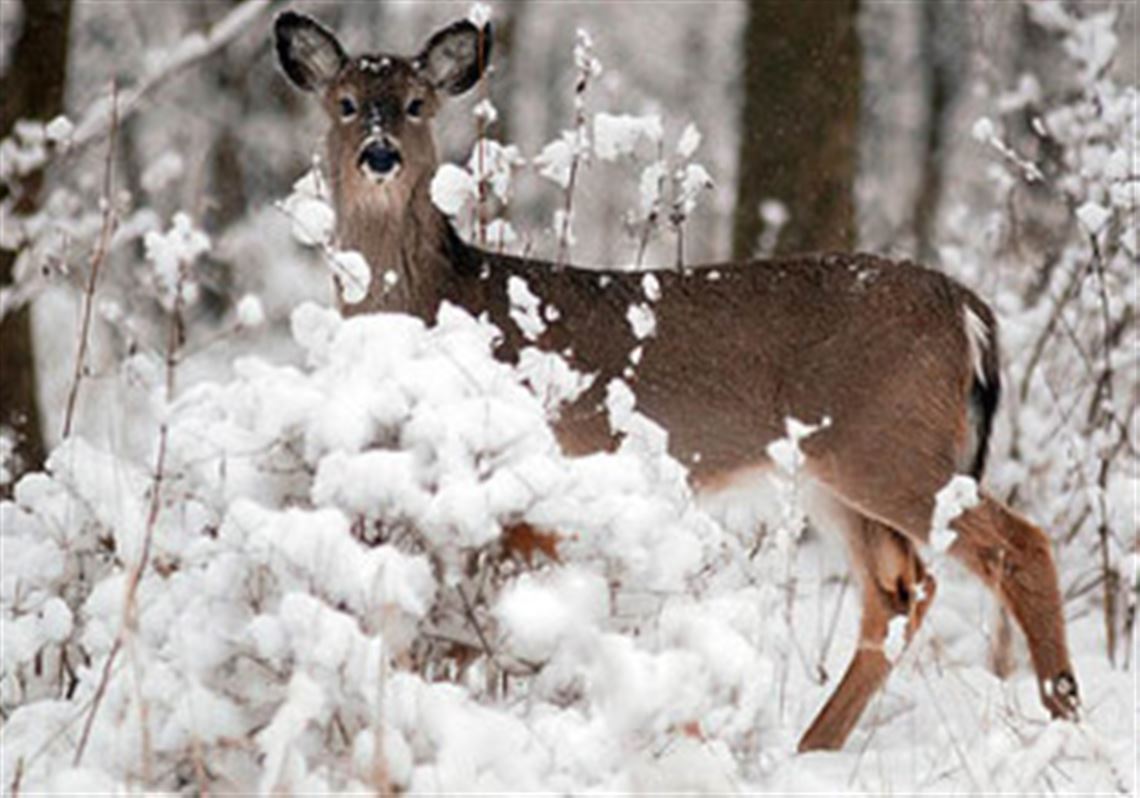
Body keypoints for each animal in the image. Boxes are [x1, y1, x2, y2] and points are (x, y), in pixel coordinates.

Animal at [273, 9, 1076, 752]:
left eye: (417, 104)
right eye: (345, 103)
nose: (379, 155)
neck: (443, 296)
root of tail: (969, 309)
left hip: (890, 444)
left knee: (1019, 544)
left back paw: (1065, 715)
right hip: (837, 467)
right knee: (900, 592)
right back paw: (812, 747)